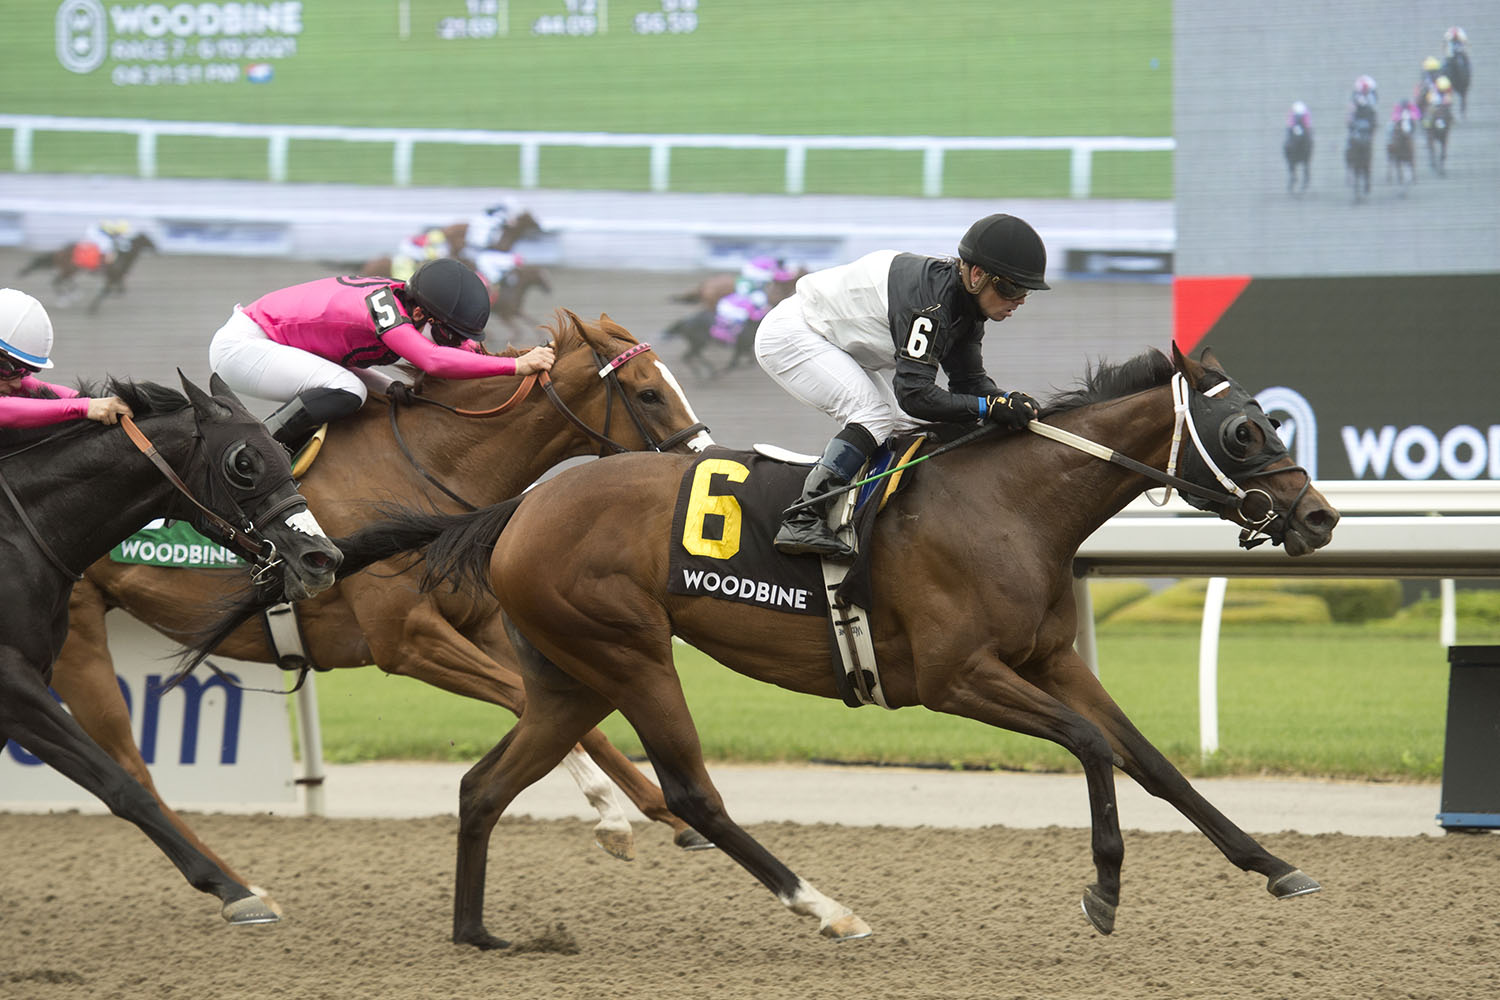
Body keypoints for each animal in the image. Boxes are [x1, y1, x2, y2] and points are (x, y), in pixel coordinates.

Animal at [18, 235, 159, 313]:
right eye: (148, 240)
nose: (156, 248)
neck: (122, 256)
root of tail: (59, 251)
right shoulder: (112, 275)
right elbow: (106, 291)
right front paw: (93, 308)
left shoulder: (116, 276)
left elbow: (118, 288)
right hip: (69, 269)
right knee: (57, 281)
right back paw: (64, 300)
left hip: (70, 270)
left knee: (63, 280)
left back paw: (73, 294)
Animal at [49, 313, 717, 917]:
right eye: (649, 392)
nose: (703, 464)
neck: (427, 469)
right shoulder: (406, 641)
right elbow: (528, 702)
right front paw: (611, 815)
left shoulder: (483, 626)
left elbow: (570, 714)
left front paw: (667, 815)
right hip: (75, 640)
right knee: (127, 765)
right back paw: (238, 889)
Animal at [208, 344, 1338, 947]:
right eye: (1245, 433)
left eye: (1273, 421)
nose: (1321, 518)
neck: (1010, 503)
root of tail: (518, 505)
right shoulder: (957, 677)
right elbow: (1096, 749)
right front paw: (1103, 889)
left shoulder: (1049, 660)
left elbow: (1152, 762)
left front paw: (1277, 865)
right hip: (631, 652)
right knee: (691, 791)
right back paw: (826, 909)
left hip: (570, 674)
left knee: (484, 785)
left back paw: (479, 931)